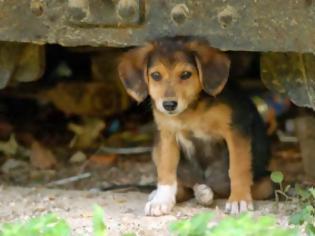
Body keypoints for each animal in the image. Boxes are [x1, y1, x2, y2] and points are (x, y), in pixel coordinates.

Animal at [118, 36, 272, 216]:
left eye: (186, 74)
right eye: (156, 75)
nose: (169, 105)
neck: (190, 111)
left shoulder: (236, 129)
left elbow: (238, 167)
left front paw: (239, 199)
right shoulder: (166, 135)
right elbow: (166, 171)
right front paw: (161, 200)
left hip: (265, 184)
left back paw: (205, 193)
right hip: (157, 149)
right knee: (185, 188)